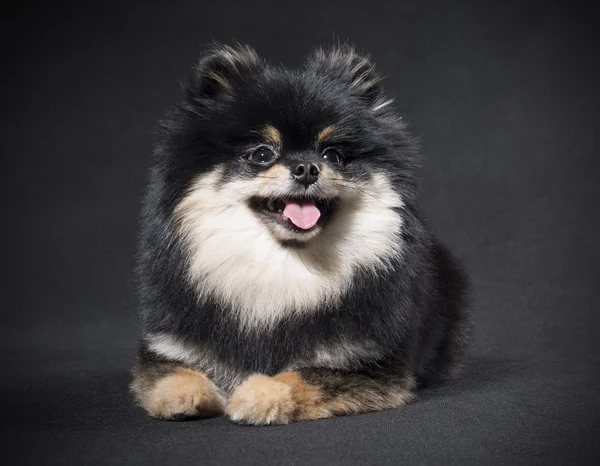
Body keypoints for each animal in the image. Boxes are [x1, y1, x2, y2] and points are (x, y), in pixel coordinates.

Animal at [132, 43, 474, 426]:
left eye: (333, 155)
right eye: (262, 153)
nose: (308, 167)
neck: (283, 265)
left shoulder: (366, 360)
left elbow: (303, 375)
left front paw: (258, 395)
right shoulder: (169, 346)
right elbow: (171, 372)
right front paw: (183, 395)